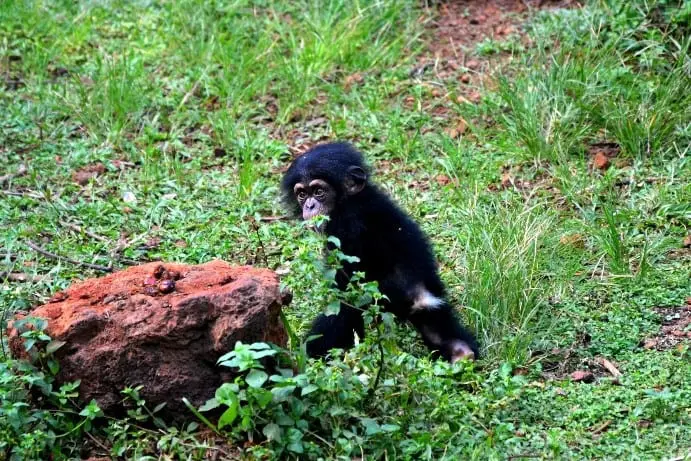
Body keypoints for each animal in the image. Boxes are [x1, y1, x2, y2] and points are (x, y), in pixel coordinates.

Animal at [281, 142, 479, 363]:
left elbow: (344, 292)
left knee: (344, 311)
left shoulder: (345, 231)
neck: (349, 202)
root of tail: (419, 293)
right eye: (302, 194)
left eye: (318, 191)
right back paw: (461, 351)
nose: (309, 205)